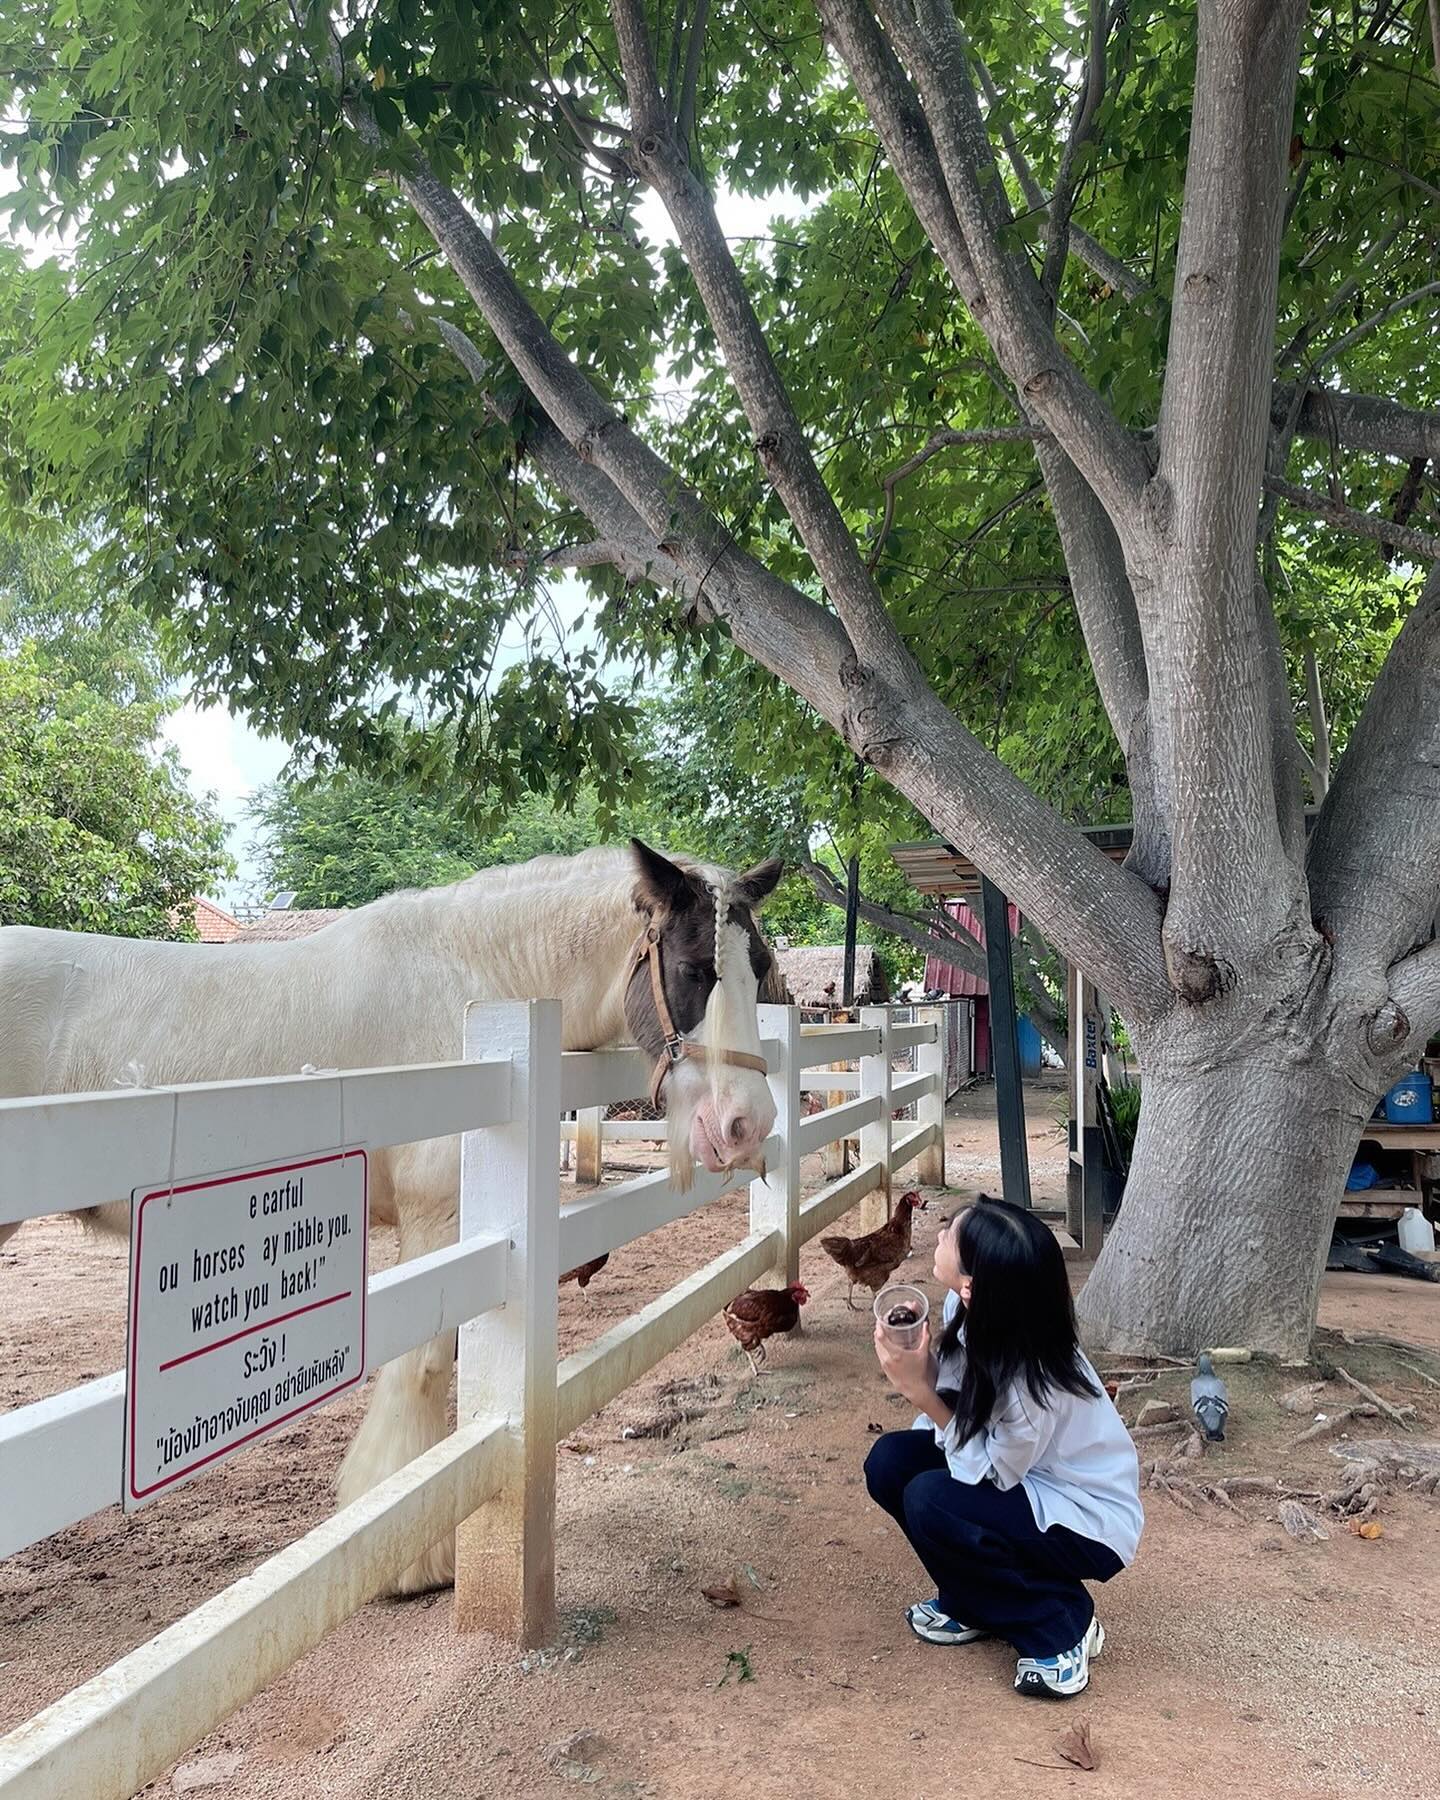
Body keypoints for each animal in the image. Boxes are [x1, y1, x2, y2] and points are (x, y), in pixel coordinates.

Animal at [0, 842, 781, 1591]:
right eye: (694, 967)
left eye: (760, 967)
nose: (748, 1125)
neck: (475, 986)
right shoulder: (435, 1222)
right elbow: (423, 1367)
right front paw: (414, 1559)